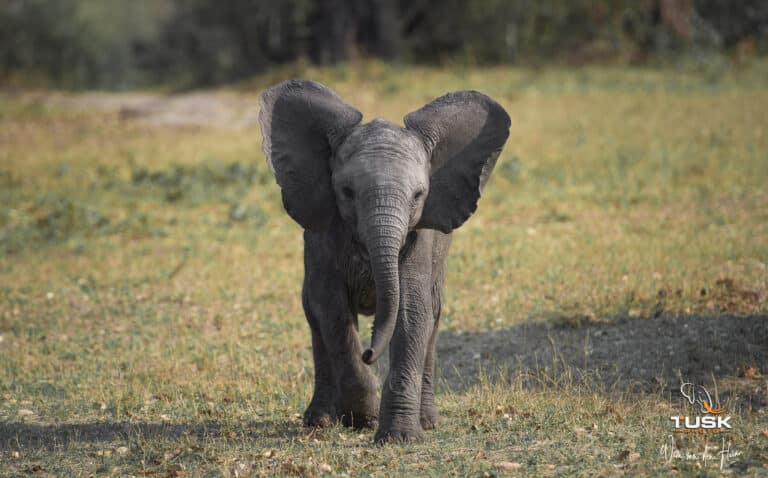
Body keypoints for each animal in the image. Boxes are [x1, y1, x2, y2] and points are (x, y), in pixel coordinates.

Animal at [258, 79, 510, 443]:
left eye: (419, 195)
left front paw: (399, 438)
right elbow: (333, 313)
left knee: (433, 317)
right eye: (346, 192)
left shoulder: (420, 237)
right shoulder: (325, 235)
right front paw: (363, 418)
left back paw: (428, 421)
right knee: (315, 319)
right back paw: (320, 420)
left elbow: (412, 311)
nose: (369, 353)